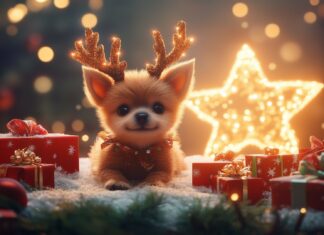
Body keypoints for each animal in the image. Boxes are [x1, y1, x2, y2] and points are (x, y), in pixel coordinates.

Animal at [72, 21, 194, 190]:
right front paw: (117, 182)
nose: (141, 115)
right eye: (123, 109)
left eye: (158, 108)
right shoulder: (105, 163)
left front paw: (151, 183)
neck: (138, 152)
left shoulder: (166, 167)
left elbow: (159, 174)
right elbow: (109, 172)